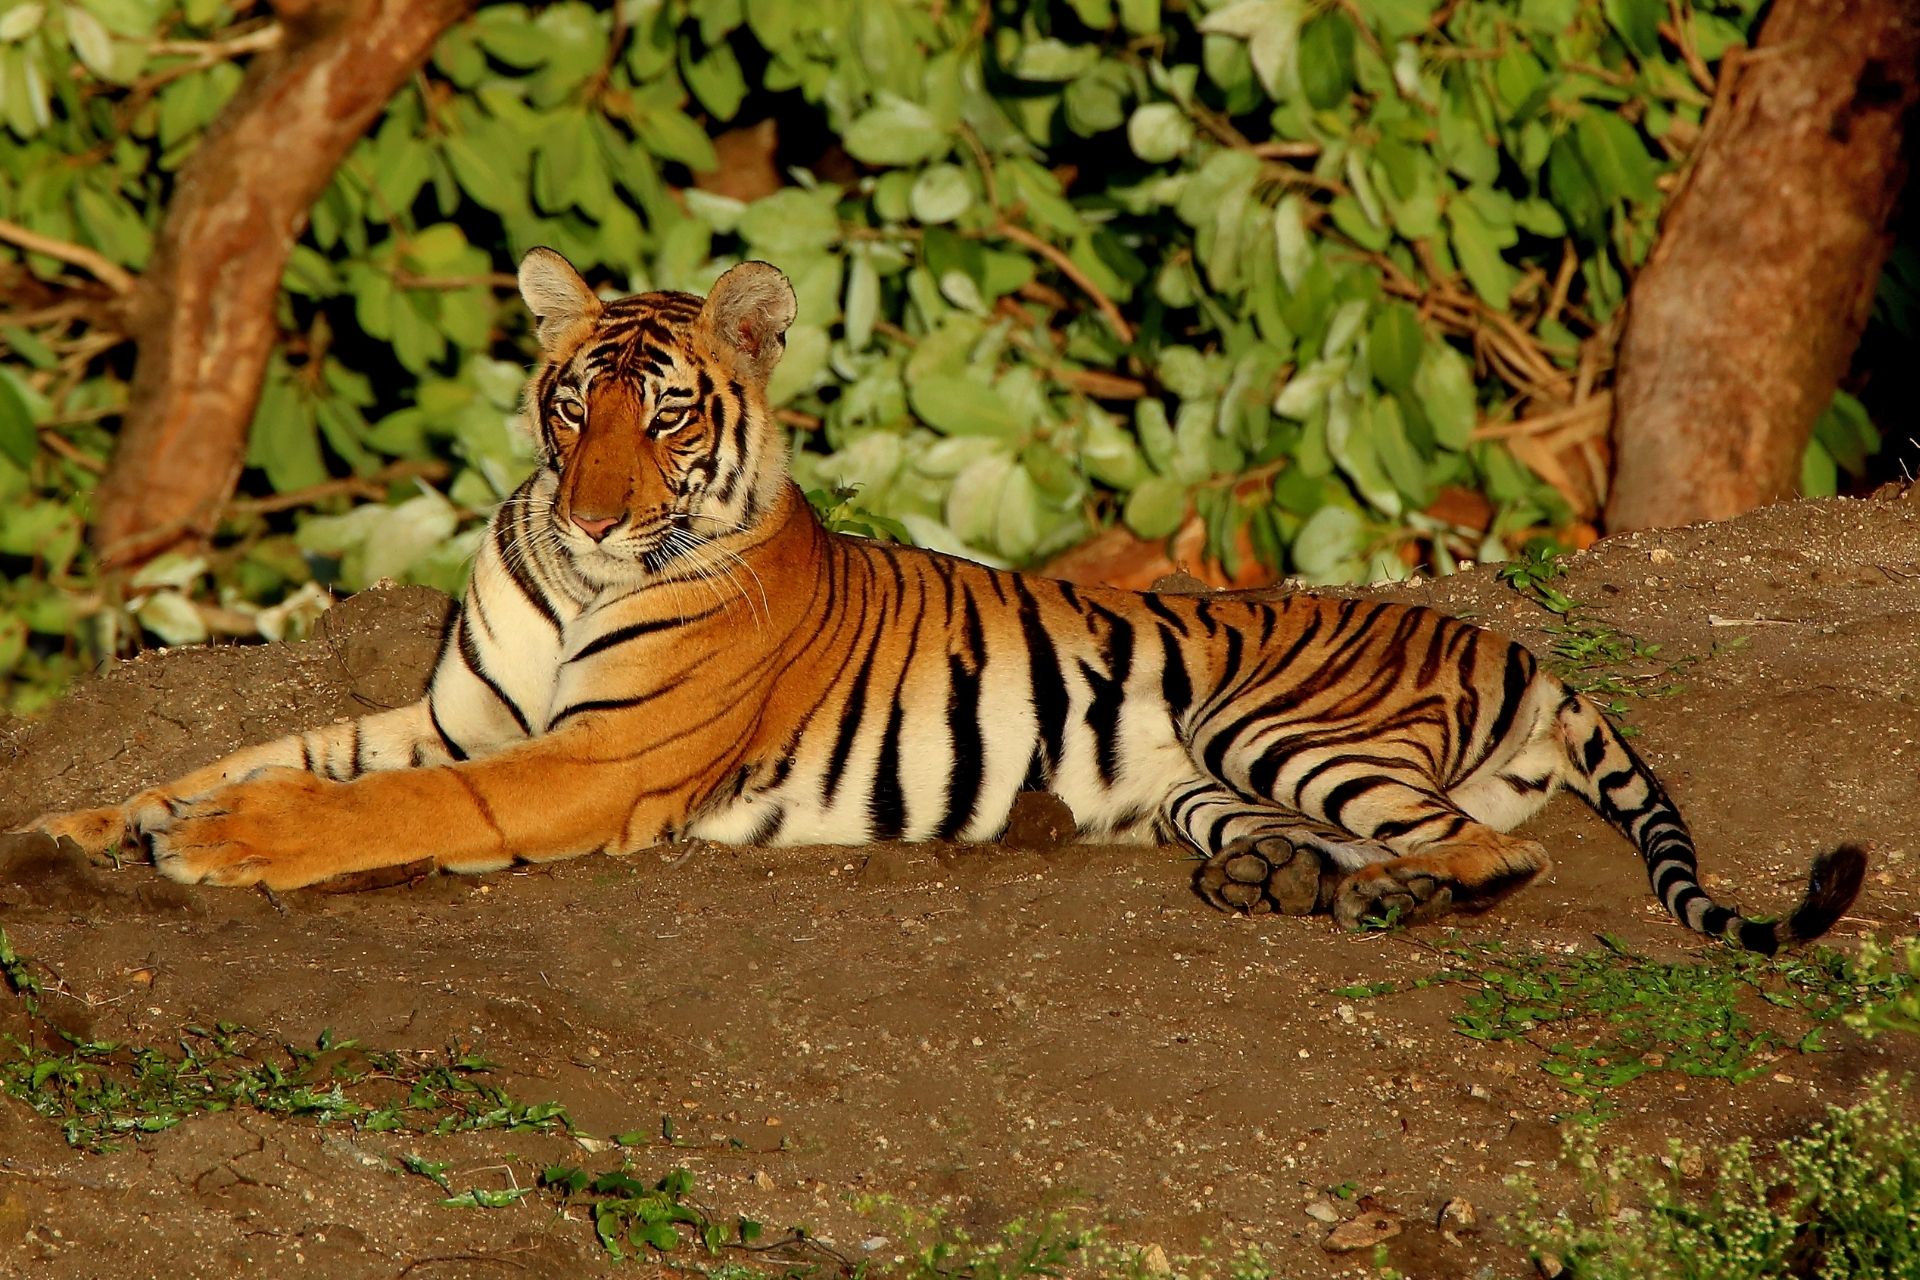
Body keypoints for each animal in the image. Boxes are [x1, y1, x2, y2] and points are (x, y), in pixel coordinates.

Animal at [22, 249, 1866, 951]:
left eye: (665, 416)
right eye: (570, 406)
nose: (602, 516)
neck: (572, 566)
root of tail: (1505, 640)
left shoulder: (581, 763)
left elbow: (367, 805)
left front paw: (217, 848)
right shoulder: (452, 708)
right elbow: (274, 751)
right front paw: (87, 823)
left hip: (1279, 718)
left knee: (1495, 854)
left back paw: (1386, 904)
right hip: (1207, 776)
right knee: (1370, 837)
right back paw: (1274, 884)